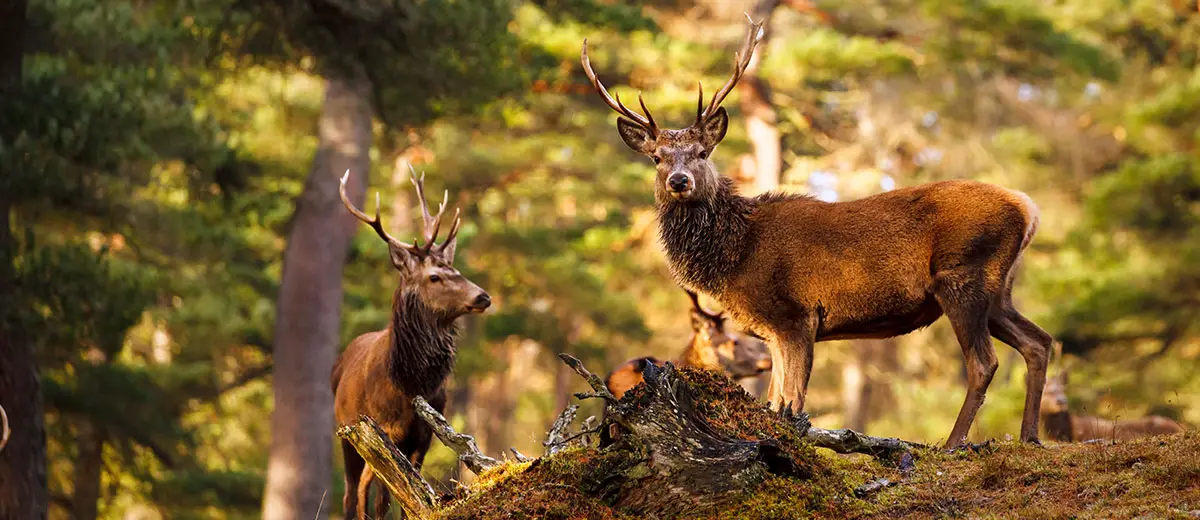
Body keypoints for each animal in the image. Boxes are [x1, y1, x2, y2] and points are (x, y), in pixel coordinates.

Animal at [331, 170, 489, 518]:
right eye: (434, 277)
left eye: (456, 270)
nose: (483, 296)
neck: (409, 383)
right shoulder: (384, 430)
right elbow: (382, 497)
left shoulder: (424, 435)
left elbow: (412, 495)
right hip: (345, 432)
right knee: (353, 492)